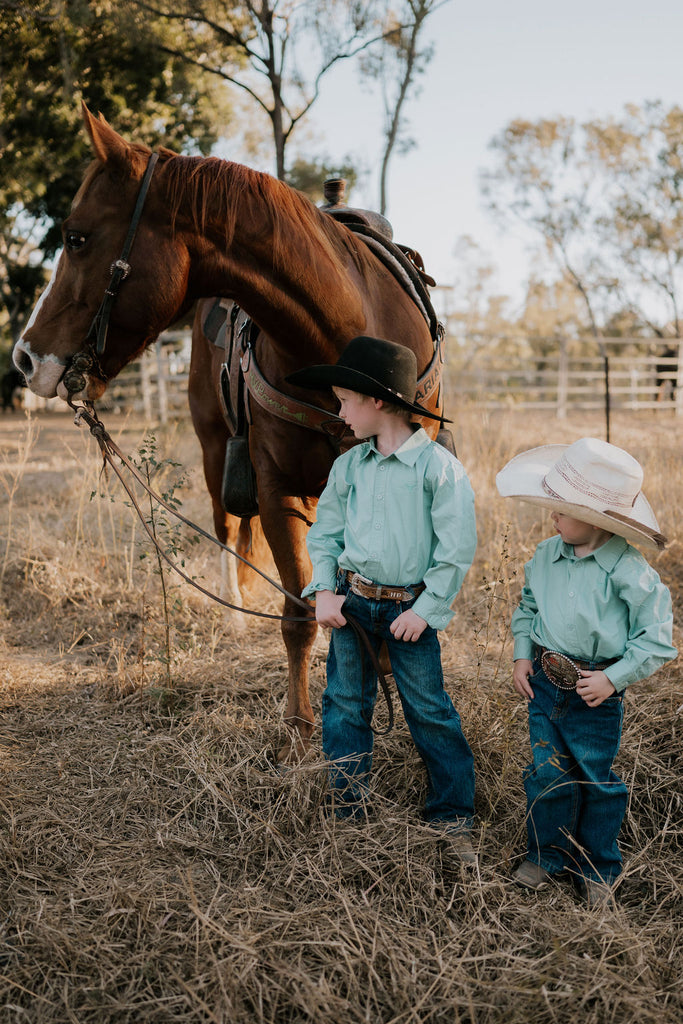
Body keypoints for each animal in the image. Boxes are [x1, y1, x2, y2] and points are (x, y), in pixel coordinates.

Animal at [15, 105, 446, 761]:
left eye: (77, 237)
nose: (24, 357)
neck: (341, 340)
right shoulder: (276, 490)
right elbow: (298, 614)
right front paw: (297, 729)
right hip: (216, 450)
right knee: (225, 529)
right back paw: (238, 614)